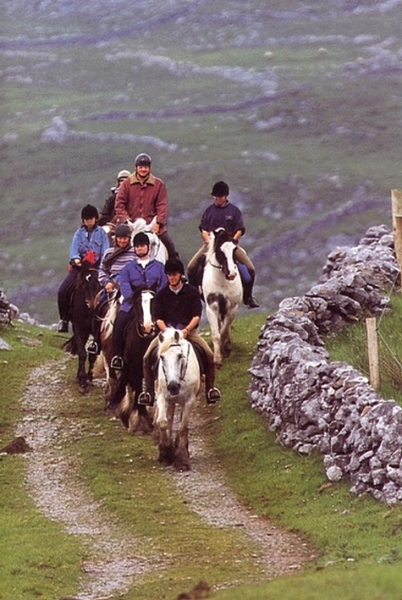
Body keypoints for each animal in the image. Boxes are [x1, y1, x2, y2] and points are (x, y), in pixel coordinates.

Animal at [62, 262, 101, 394]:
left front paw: (89, 377)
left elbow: (93, 354)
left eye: (99, 286)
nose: (92, 307)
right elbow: (82, 353)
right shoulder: (78, 327)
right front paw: (83, 381)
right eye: (83, 287)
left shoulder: (97, 331)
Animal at [154, 330, 204, 472]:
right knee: (170, 421)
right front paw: (166, 453)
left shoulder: (189, 401)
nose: (173, 386)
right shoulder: (162, 397)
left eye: (179, 355)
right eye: (162, 357)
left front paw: (182, 460)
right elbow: (163, 422)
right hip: (171, 401)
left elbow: (182, 427)